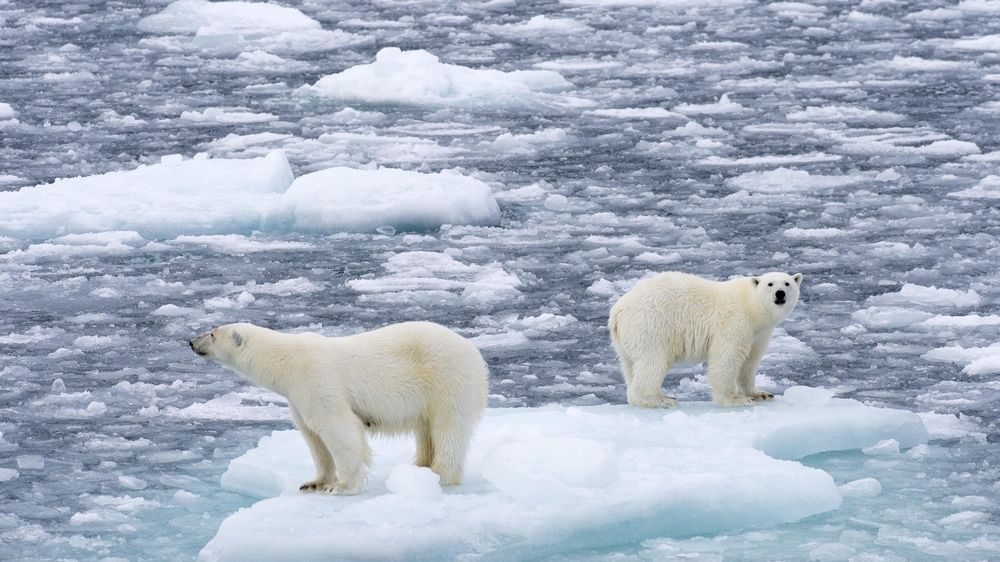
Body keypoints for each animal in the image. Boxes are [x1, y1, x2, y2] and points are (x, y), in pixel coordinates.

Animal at [190, 322, 488, 492]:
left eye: (212, 333)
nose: (191, 341)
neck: (287, 361)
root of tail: (475, 353)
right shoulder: (297, 398)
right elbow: (313, 437)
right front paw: (313, 482)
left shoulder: (317, 381)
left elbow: (338, 429)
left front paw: (342, 486)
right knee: (425, 431)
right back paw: (419, 467)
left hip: (447, 380)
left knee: (448, 429)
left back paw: (440, 474)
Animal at [604, 272, 800, 406]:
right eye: (770, 284)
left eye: (787, 283)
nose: (780, 293)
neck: (751, 306)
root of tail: (617, 311)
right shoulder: (734, 323)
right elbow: (726, 358)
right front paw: (735, 399)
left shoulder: (759, 334)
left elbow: (749, 363)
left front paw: (760, 394)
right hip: (651, 326)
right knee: (652, 362)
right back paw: (661, 399)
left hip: (627, 339)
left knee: (630, 365)